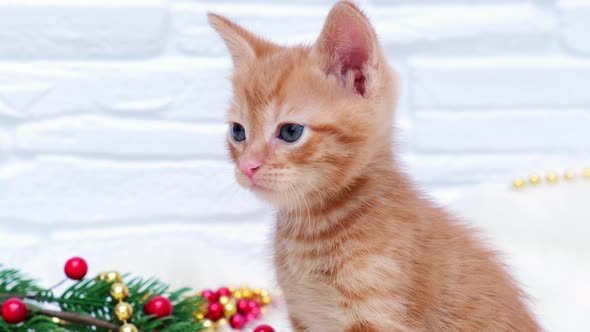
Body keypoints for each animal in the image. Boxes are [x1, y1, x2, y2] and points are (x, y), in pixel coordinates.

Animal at [208, 1, 540, 330]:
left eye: (290, 131)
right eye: (238, 131)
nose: (248, 166)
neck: (313, 229)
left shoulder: (376, 312)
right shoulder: (302, 314)